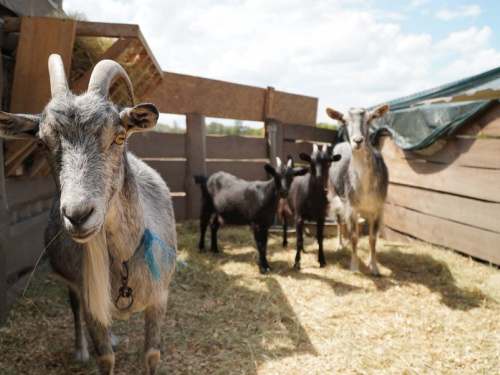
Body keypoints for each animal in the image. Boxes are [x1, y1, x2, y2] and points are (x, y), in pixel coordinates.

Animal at [0, 54, 178, 374]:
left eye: (120, 137)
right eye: (41, 143)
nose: (78, 215)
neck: (124, 262)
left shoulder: (160, 297)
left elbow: (151, 355)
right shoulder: (89, 295)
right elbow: (105, 357)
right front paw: (96, 351)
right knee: (75, 310)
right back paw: (82, 350)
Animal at [328, 104, 390, 278]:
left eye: (369, 119)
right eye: (344, 120)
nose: (357, 141)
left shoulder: (378, 208)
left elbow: (372, 238)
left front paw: (374, 267)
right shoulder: (351, 206)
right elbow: (355, 235)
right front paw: (354, 266)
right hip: (335, 194)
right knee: (339, 220)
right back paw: (340, 244)